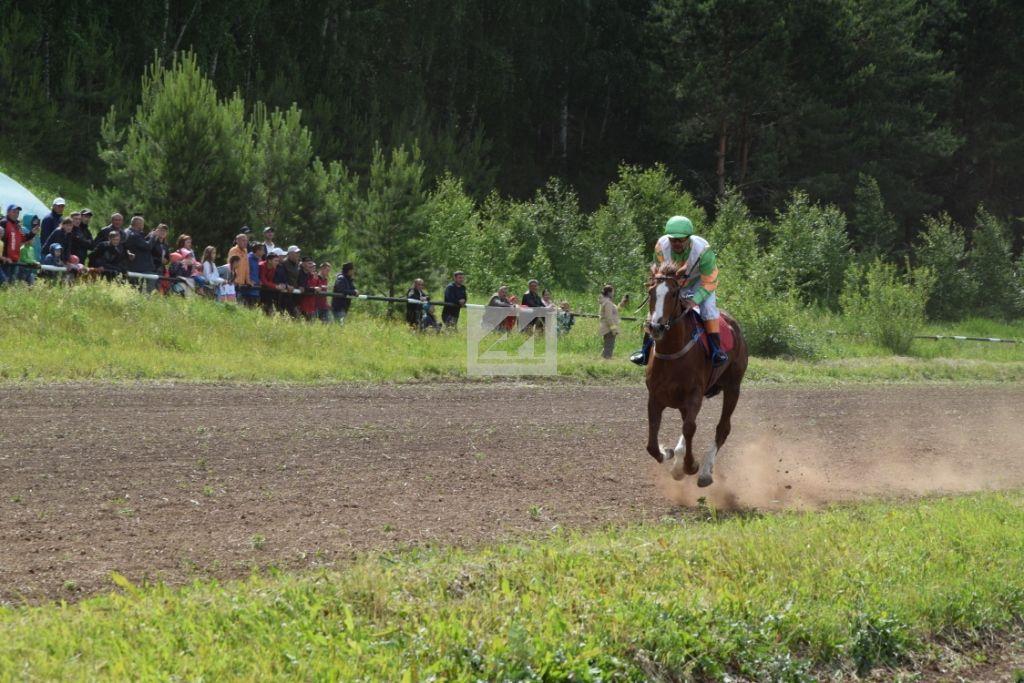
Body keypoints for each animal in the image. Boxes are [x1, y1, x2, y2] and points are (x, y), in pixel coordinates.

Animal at [643, 260, 749, 485]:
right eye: (650, 291)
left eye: (674, 293)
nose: (655, 326)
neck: (672, 354)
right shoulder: (655, 396)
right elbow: (652, 443)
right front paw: (668, 453)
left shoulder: (694, 394)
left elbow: (690, 427)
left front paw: (690, 466)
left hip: (733, 387)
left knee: (722, 428)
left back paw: (706, 472)